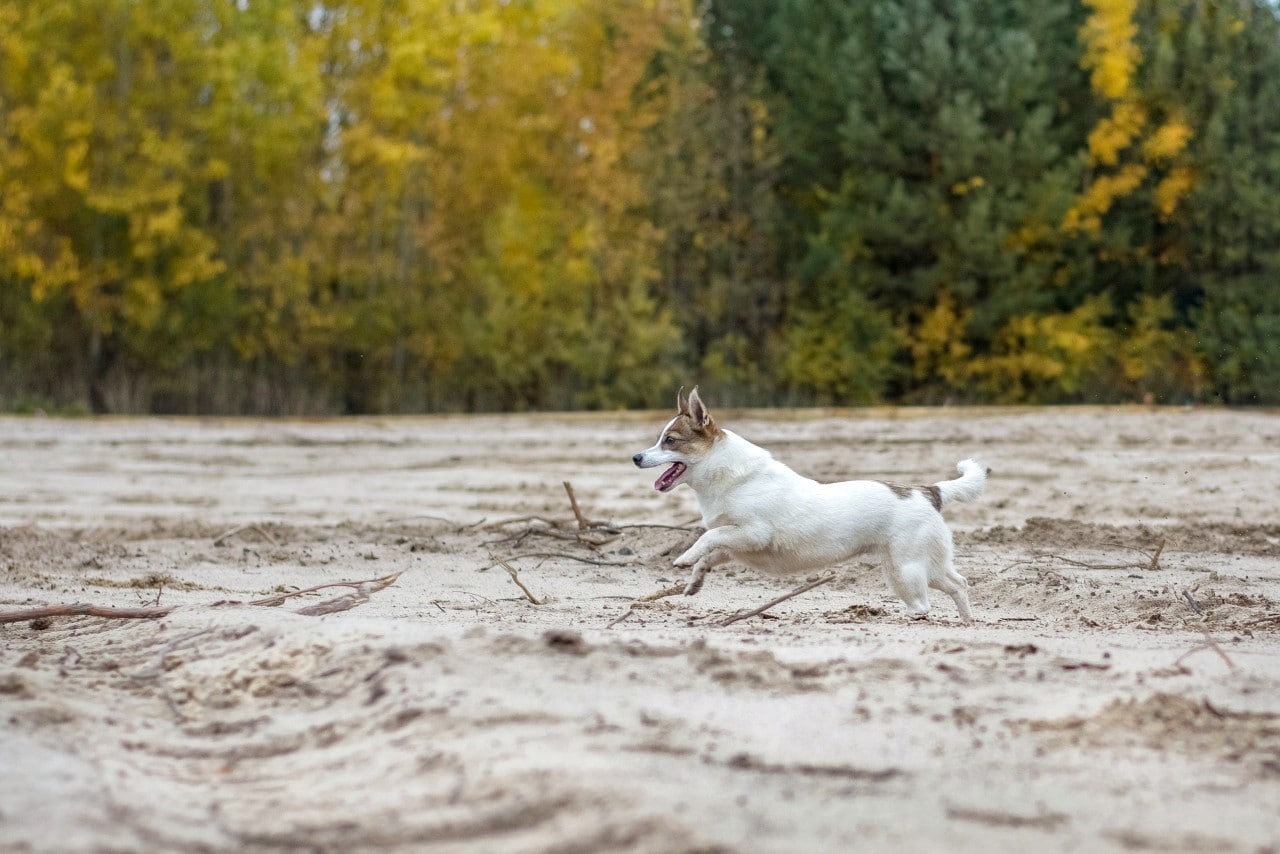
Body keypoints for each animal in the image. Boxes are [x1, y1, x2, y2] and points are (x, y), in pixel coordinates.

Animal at [632, 389, 988, 622]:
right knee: (959, 584)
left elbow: (707, 538)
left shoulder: (752, 533)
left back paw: (910, 618)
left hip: (906, 569)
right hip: (923, 565)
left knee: (925, 604)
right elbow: (712, 553)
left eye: (670, 441)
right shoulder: (737, 544)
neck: (727, 475)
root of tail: (927, 491)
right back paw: (967, 621)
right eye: (660, 439)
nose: (636, 457)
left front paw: (684, 557)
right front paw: (695, 579)